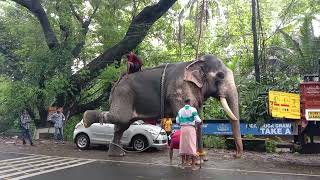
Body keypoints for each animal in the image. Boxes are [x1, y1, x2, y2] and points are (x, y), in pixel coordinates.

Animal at [84, 54, 244, 158]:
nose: (236, 155)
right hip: (124, 94)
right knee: (120, 118)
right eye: (220, 76)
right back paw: (86, 119)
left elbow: (198, 120)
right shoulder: (178, 90)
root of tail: (118, 80)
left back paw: (117, 155)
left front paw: (201, 158)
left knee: (121, 125)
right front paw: (195, 159)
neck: (195, 61)